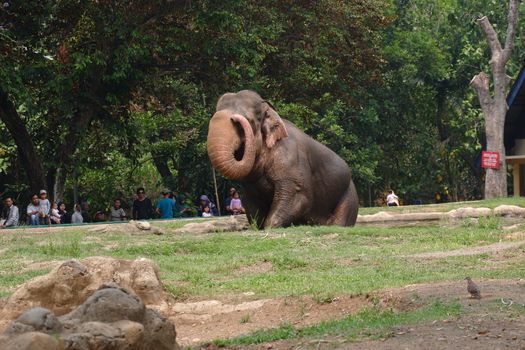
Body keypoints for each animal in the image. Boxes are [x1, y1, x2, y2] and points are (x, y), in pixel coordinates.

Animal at [207, 89, 358, 227]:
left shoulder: (291, 160)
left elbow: (298, 196)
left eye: (247, 121)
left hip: (349, 196)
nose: (233, 117)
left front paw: (269, 227)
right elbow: (252, 204)